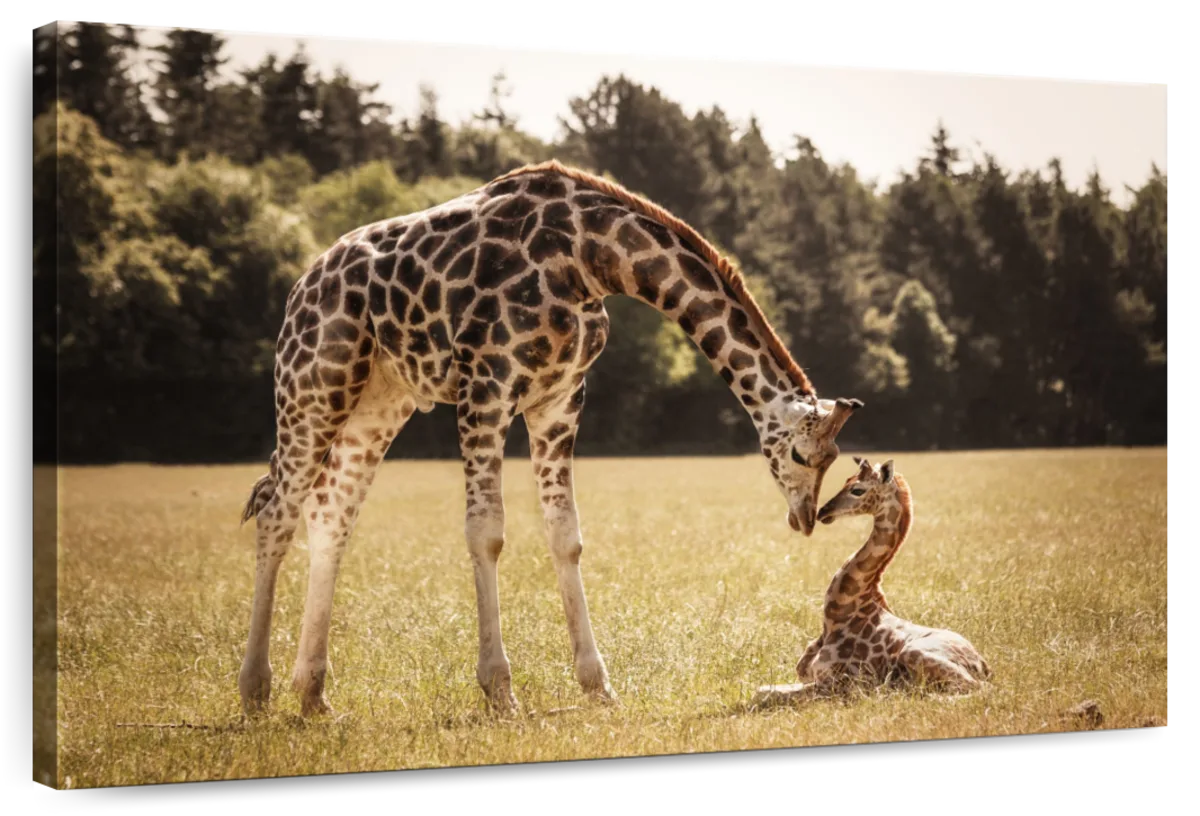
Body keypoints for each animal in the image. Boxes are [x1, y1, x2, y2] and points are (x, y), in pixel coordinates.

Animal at [236, 160, 866, 718]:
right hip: (315, 382)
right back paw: (255, 690)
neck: (591, 257)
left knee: (329, 514)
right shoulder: (487, 384)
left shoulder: (560, 398)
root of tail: (300, 288)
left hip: (378, 401)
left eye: (835, 458)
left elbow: (566, 535)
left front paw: (597, 686)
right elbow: (486, 532)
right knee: (277, 511)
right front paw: (499, 691)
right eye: (801, 453)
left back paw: (313, 695)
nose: (805, 517)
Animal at [753, 457, 990, 709]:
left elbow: (764, 692)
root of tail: (984, 665)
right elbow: (764, 689)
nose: (823, 512)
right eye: (845, 481)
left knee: (980, 689)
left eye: (858, 490)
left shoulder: (838, 685)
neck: (837, 616)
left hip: (915, 652)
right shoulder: (807, 676)